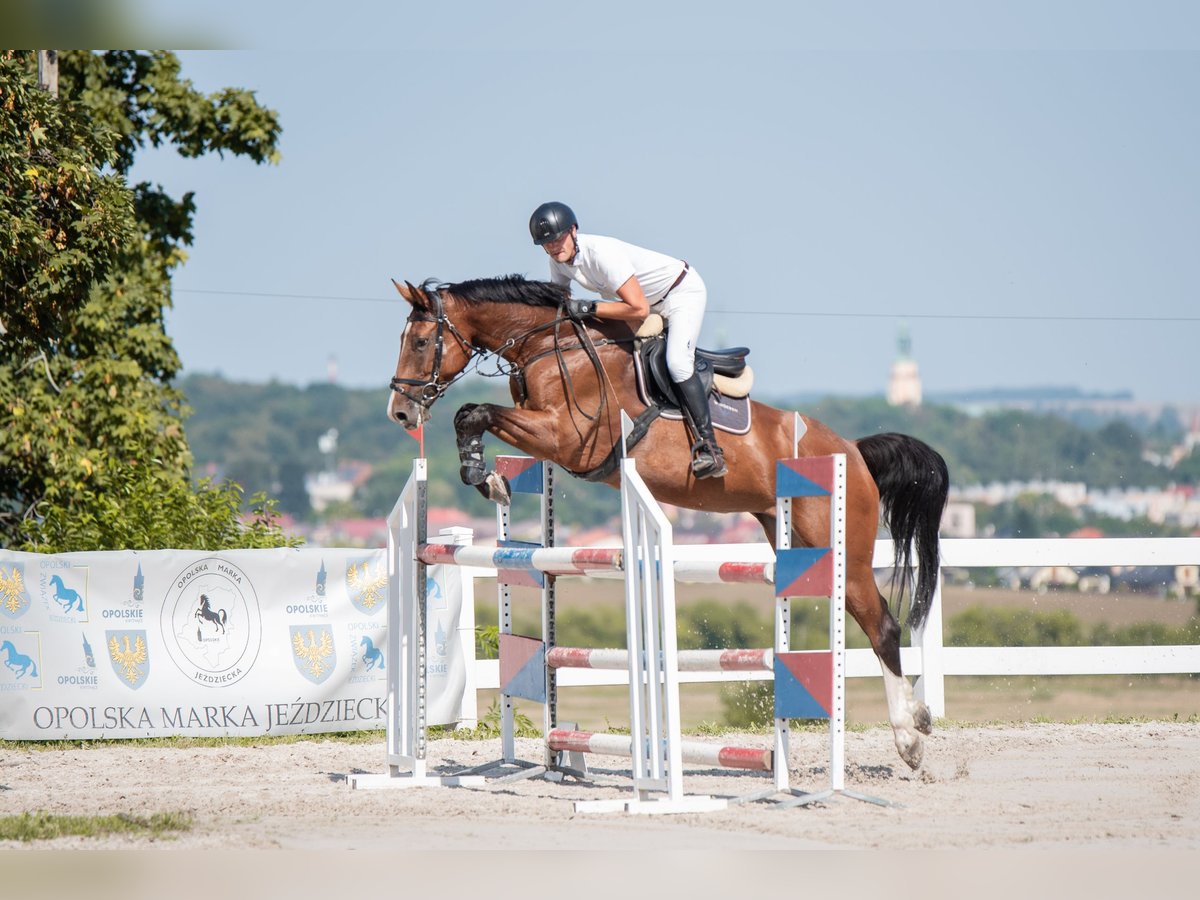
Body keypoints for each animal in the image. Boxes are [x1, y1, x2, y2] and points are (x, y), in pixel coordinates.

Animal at [384, 273, 945, 768]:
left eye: (422, 341)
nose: (400, 414)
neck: (551, 346)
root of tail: (853, 450)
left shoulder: (568, 438)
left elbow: (473, 413)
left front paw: (484, 474)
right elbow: (472, 416)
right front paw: (487, 477)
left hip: (839, 545)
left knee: (882, 624)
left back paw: (909, 738)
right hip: (796, 538)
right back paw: (919, 716)